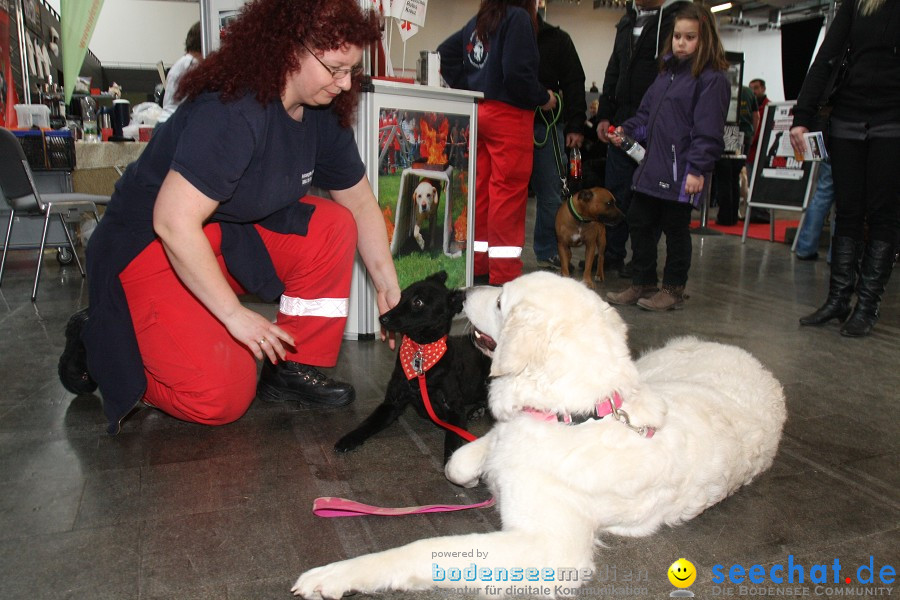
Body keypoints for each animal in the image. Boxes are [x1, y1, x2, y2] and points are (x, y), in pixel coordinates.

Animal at [336, 272, 492, 464]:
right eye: (402, 295)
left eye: (418, 302)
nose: (382, 318)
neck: (421, 353)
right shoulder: (391, 403)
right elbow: (368, 423)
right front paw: (349, 439)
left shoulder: (454, 408)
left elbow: (452, 439)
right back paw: (477, 410)